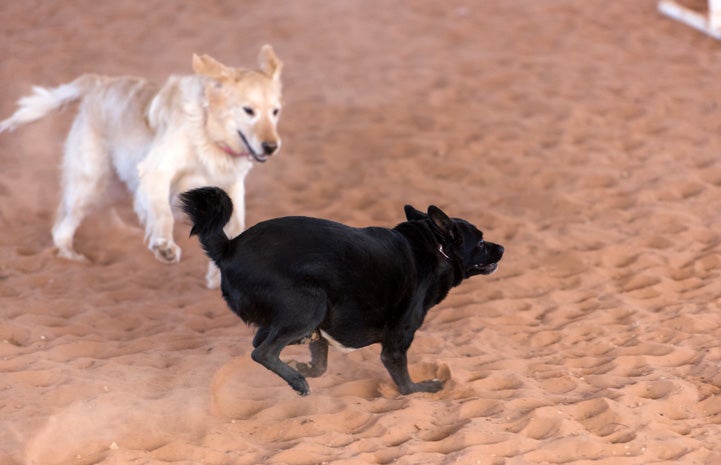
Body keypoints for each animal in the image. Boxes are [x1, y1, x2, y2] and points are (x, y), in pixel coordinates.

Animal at [0, 46, 282, 286]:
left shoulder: (231, 187)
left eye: (275, 112)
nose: (271, 146)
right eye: (248, 110)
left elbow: (234, 227)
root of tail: (98, 82)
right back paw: (74, 258)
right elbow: (163, 214)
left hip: (115, 186)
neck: (208, 131)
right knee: (61, 228)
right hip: (90, 183)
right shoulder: (156, 172)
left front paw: (218, 276)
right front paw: (164, 247)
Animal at [181, 186, 500, 396]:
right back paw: (297, 382)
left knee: (262, 341)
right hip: (310, 303)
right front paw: (420, 388)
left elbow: (320, 361)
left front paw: (306, 364)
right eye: (482, 242)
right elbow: (403, 379)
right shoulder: (398, 341)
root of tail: (228, 248)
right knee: (263, 352)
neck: (436, 245)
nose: (502, 248)